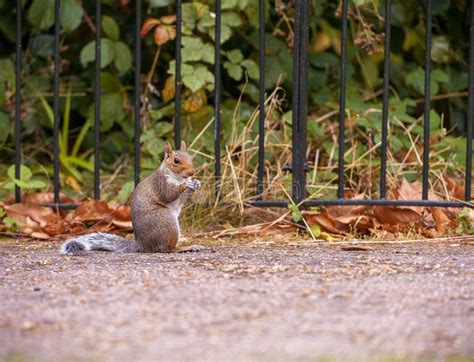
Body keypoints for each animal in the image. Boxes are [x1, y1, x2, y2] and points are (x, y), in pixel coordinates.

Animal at [60, 140, 203, 256]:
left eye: (191, 158)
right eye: (176, 161)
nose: (192, 172)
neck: (177, 177)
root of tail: (143, 245)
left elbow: (182, 200)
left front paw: (196, 183)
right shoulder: (160, 184)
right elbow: (169, 195)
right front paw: (185, 185)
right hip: (165, 221)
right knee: (167, 248)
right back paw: (187, 247)